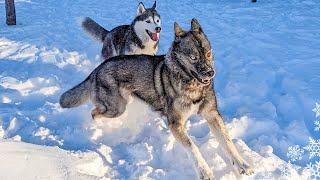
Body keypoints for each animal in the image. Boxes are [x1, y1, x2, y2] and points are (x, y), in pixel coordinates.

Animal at [60, 19, 255, 179]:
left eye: (208, 53)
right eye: (193, 57)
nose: (210, 73)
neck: (192, 84)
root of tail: (97, 69)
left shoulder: (212, 115)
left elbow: (228, 142)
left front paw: (243, 165)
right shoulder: (176, 123)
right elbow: (193, 147)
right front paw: (204, 172)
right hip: (117, 108)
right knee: (95, 113)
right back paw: (100, 127)